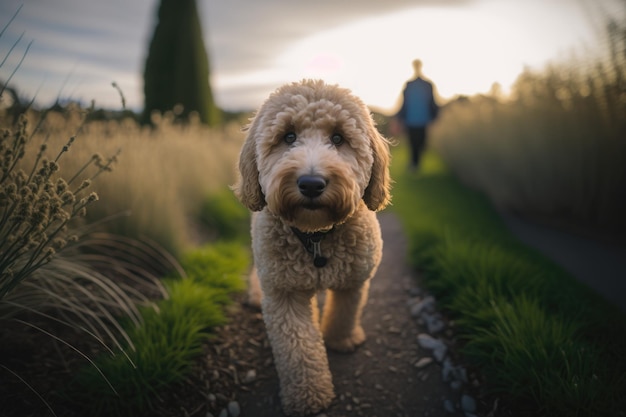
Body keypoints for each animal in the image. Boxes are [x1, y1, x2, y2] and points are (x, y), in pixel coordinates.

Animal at [234, 79, 390, 414]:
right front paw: (308, 396)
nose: (311, 184)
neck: (316, 237)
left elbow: (346, 311)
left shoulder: (354, 280)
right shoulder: (285, 294)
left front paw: (342, 339)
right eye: (288, 136)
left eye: (339, 138)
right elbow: (298, 349)